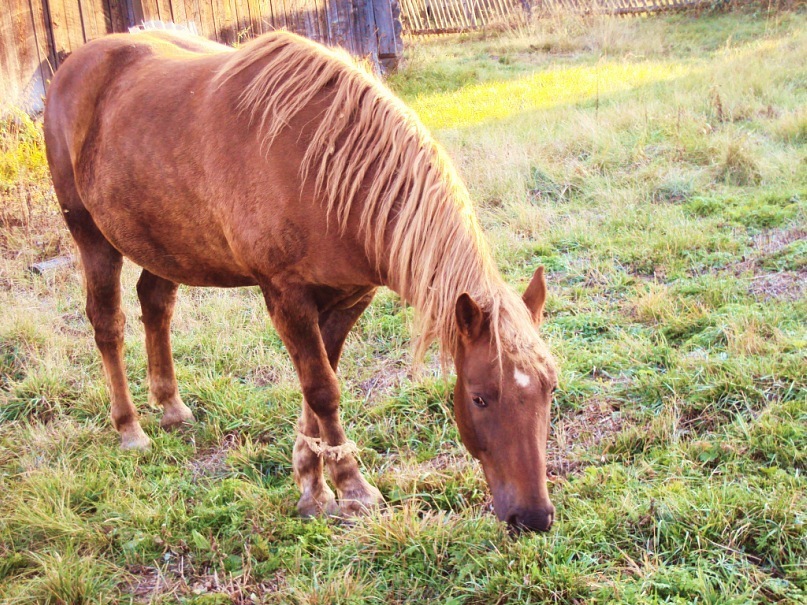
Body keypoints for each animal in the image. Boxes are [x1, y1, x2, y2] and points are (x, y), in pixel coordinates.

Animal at [44, 29, 560, 528]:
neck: (325, 170)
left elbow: (320, 387)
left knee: (155, 304)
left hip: (166, 244)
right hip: (92, 237)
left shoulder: (348, 299)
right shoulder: (286, 297)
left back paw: (171, 407)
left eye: (550, 388)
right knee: (107, 324)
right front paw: (350, 488)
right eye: (479, 398)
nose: (534, 517)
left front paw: (311, 482)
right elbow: (322, 391)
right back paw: (130, 429)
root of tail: (72, 65)